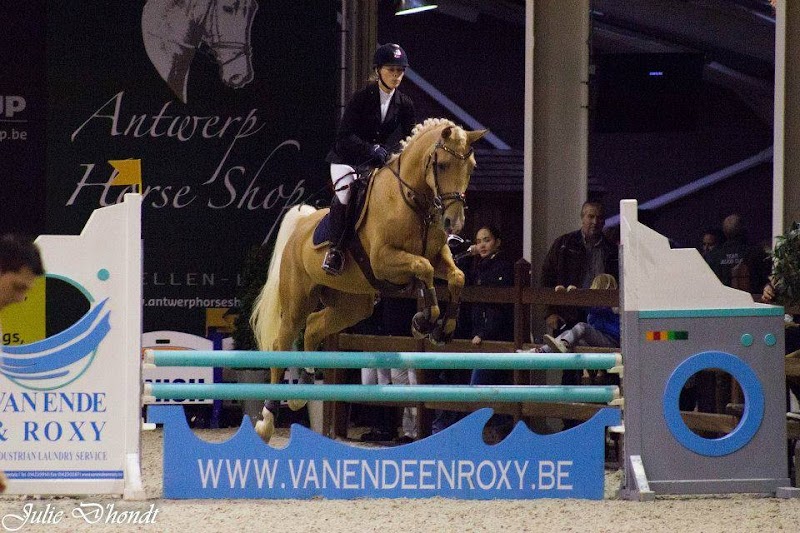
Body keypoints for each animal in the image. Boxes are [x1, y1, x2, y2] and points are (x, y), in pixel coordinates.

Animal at [250, 118, 486, 442]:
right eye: (443, 165)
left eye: (472, 167)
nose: (455, 223)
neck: (413, 201)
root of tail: (302, 226)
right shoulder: (384, 260)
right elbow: (423, 268)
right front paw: (425, 320)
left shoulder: (440, 255)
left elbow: (456, 277)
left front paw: (443, 328)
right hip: (297, 301)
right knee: (281, 342)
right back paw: (268, 419)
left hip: (352, 306)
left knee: (313, 327)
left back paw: (304, 387)